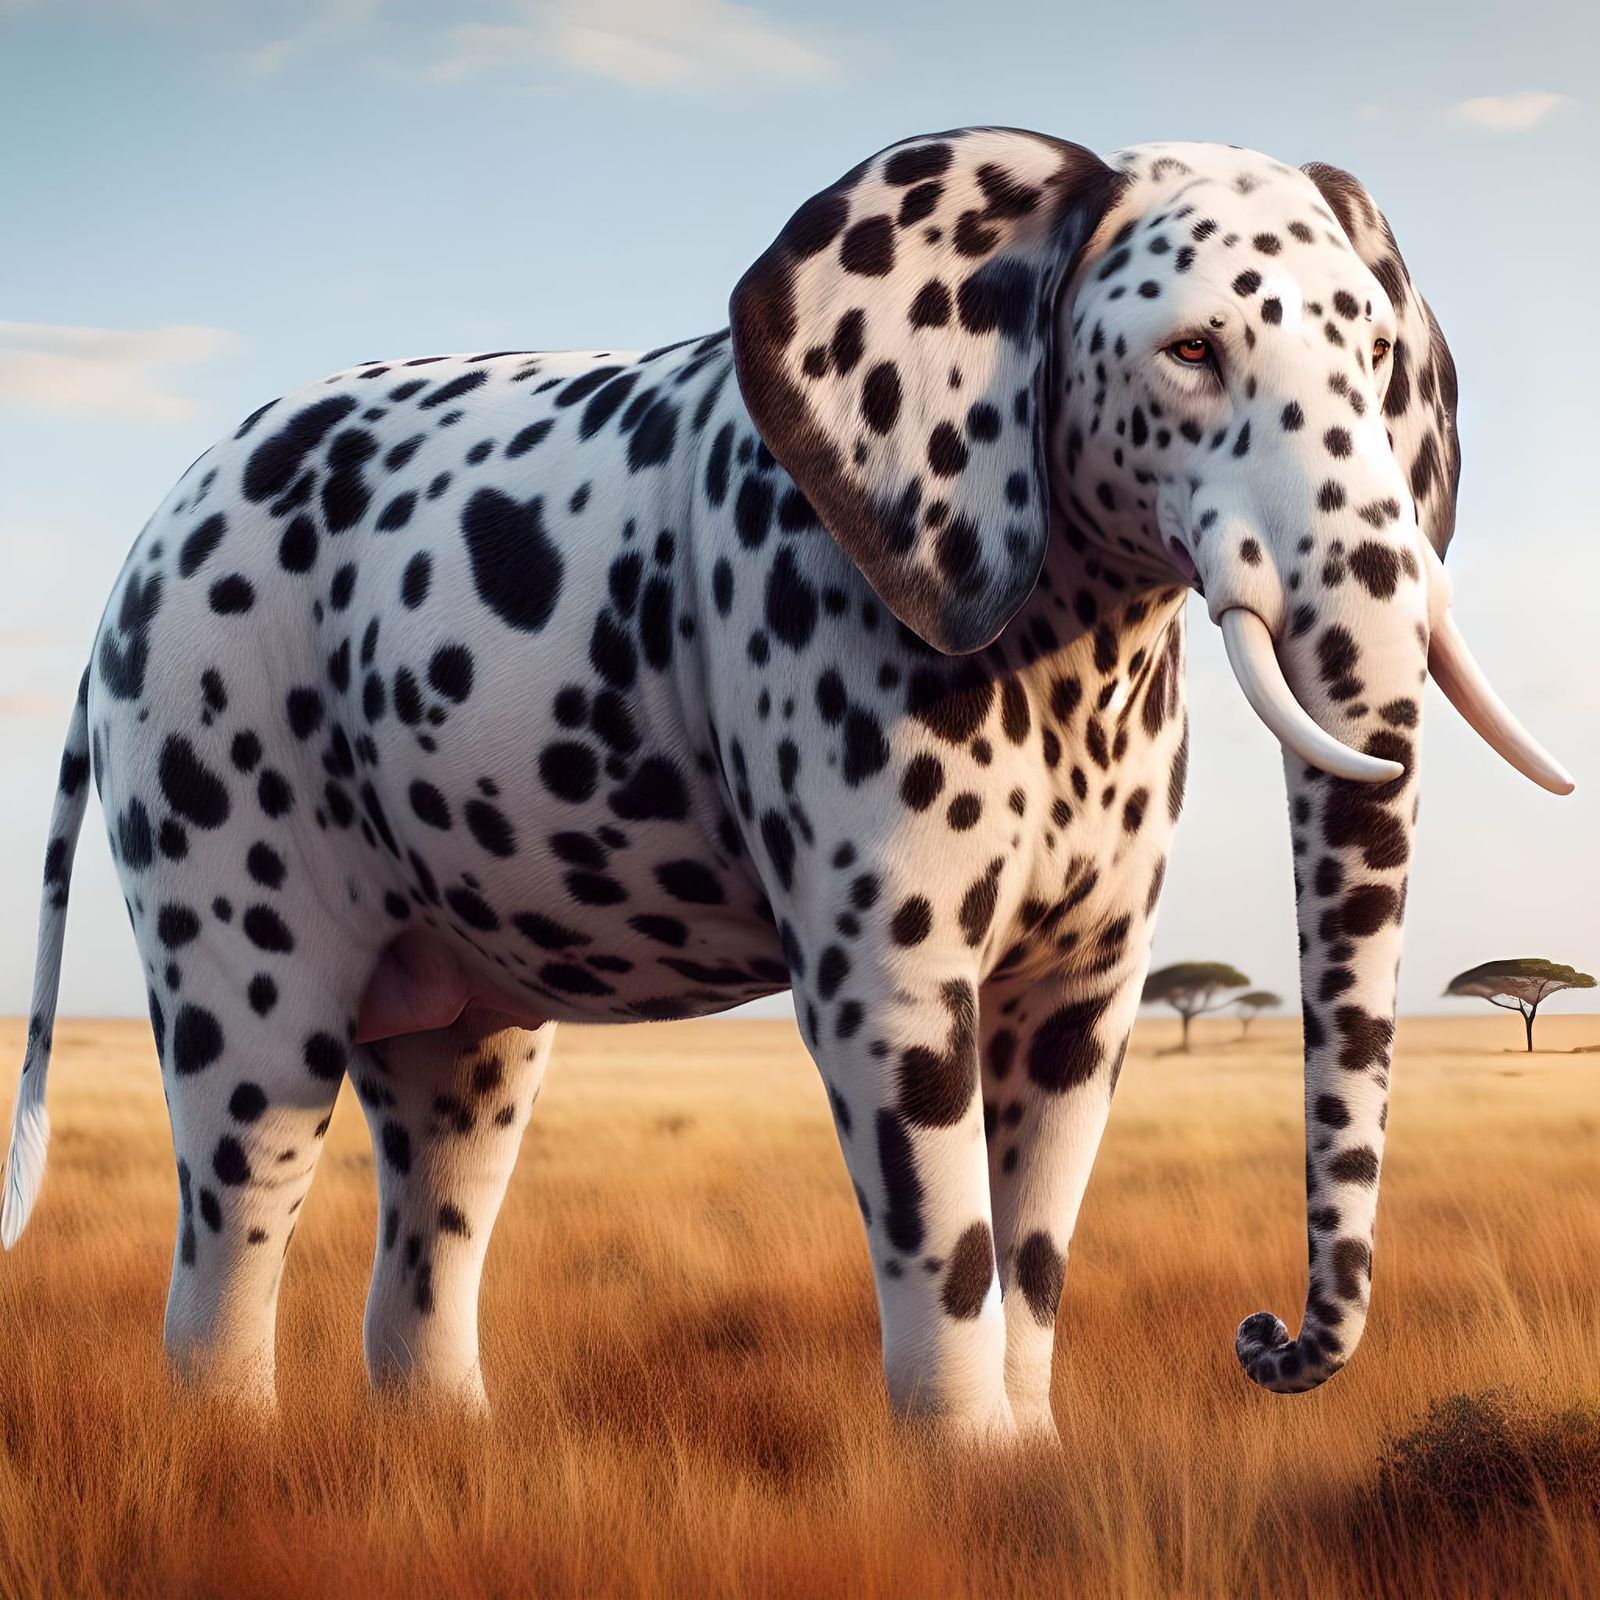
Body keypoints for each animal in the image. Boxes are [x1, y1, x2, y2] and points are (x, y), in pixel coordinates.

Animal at [3, 127, 1572, 1433]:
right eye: (1191, 351)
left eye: (1380, 356)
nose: (1257, 1338)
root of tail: (128, 572)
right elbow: (924, 1135)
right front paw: (971, 1481)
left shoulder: (1103, 940)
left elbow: (1053, 1143)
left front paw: (1036, 1468)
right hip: (221, 790)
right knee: (251, 1142)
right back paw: (241, 1457)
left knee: (452, 1139)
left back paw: (446, 1453)